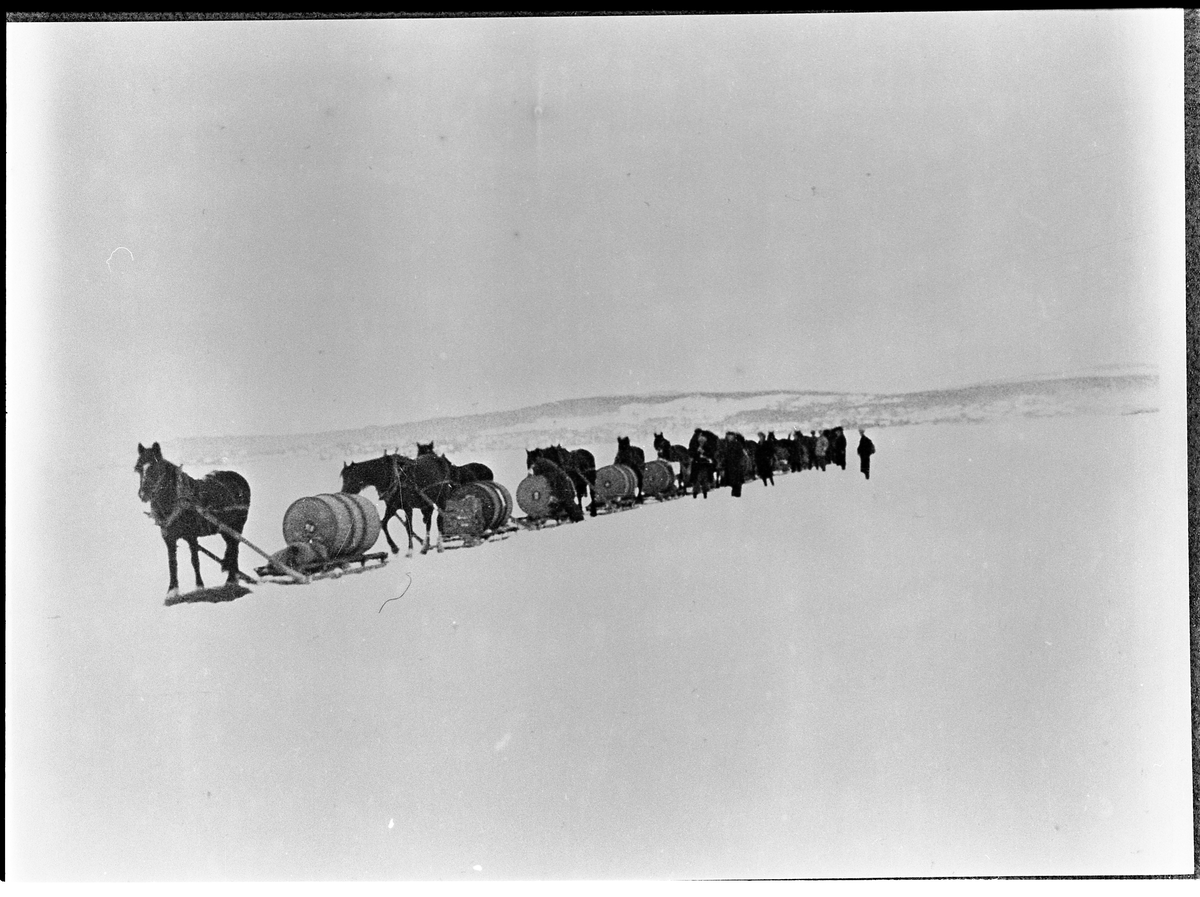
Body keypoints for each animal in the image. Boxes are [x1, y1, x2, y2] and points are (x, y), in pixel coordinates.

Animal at [135, 438, 249, 594]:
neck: (177, 500)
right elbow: (172, 563)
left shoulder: (191, 536)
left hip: (237, 526)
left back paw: (231, 580)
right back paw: (233, 577)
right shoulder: (169, 538)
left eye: (156, 468)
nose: (143, 494)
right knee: (231, 548)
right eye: (138, 469)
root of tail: (240, 478)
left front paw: (199, 586)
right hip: (225, 529)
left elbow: (195, 561)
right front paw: (172, 590)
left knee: (235, 548)